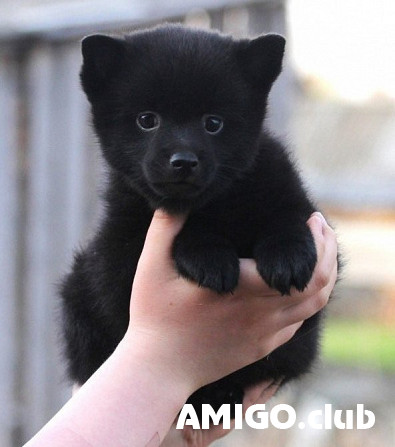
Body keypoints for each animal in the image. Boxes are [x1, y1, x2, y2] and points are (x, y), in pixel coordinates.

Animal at [61, 24, 328, 416]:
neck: (213, 205)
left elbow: (285, 217)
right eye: (147, 120)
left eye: (213, 123)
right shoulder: (121, 248)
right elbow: (187, 235)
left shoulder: (290, 195)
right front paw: (209, 258)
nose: (183, 161)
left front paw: (288, 258)